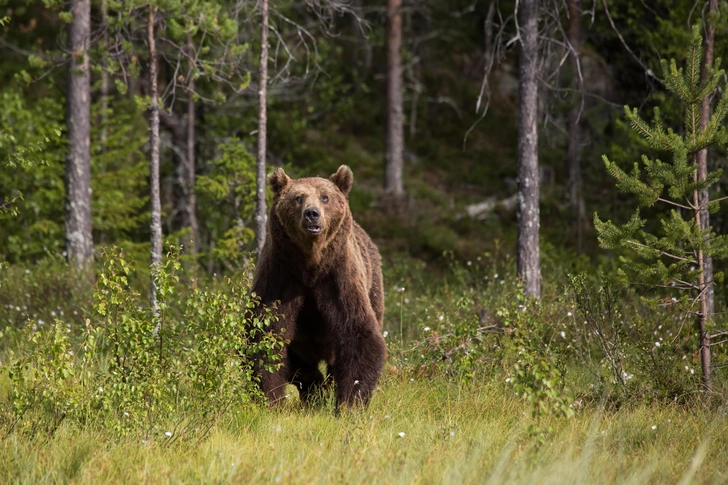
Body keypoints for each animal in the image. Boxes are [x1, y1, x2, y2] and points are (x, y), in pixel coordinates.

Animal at [252, 164, 386, 406]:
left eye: (325, 197)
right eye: (298, 198)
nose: (312, 214)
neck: (311, 265)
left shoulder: (338, 278)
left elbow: (358, 335)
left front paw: (348, 403)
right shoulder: (280, 276)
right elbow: (267, 334)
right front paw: (271, 399)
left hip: (373, 290)